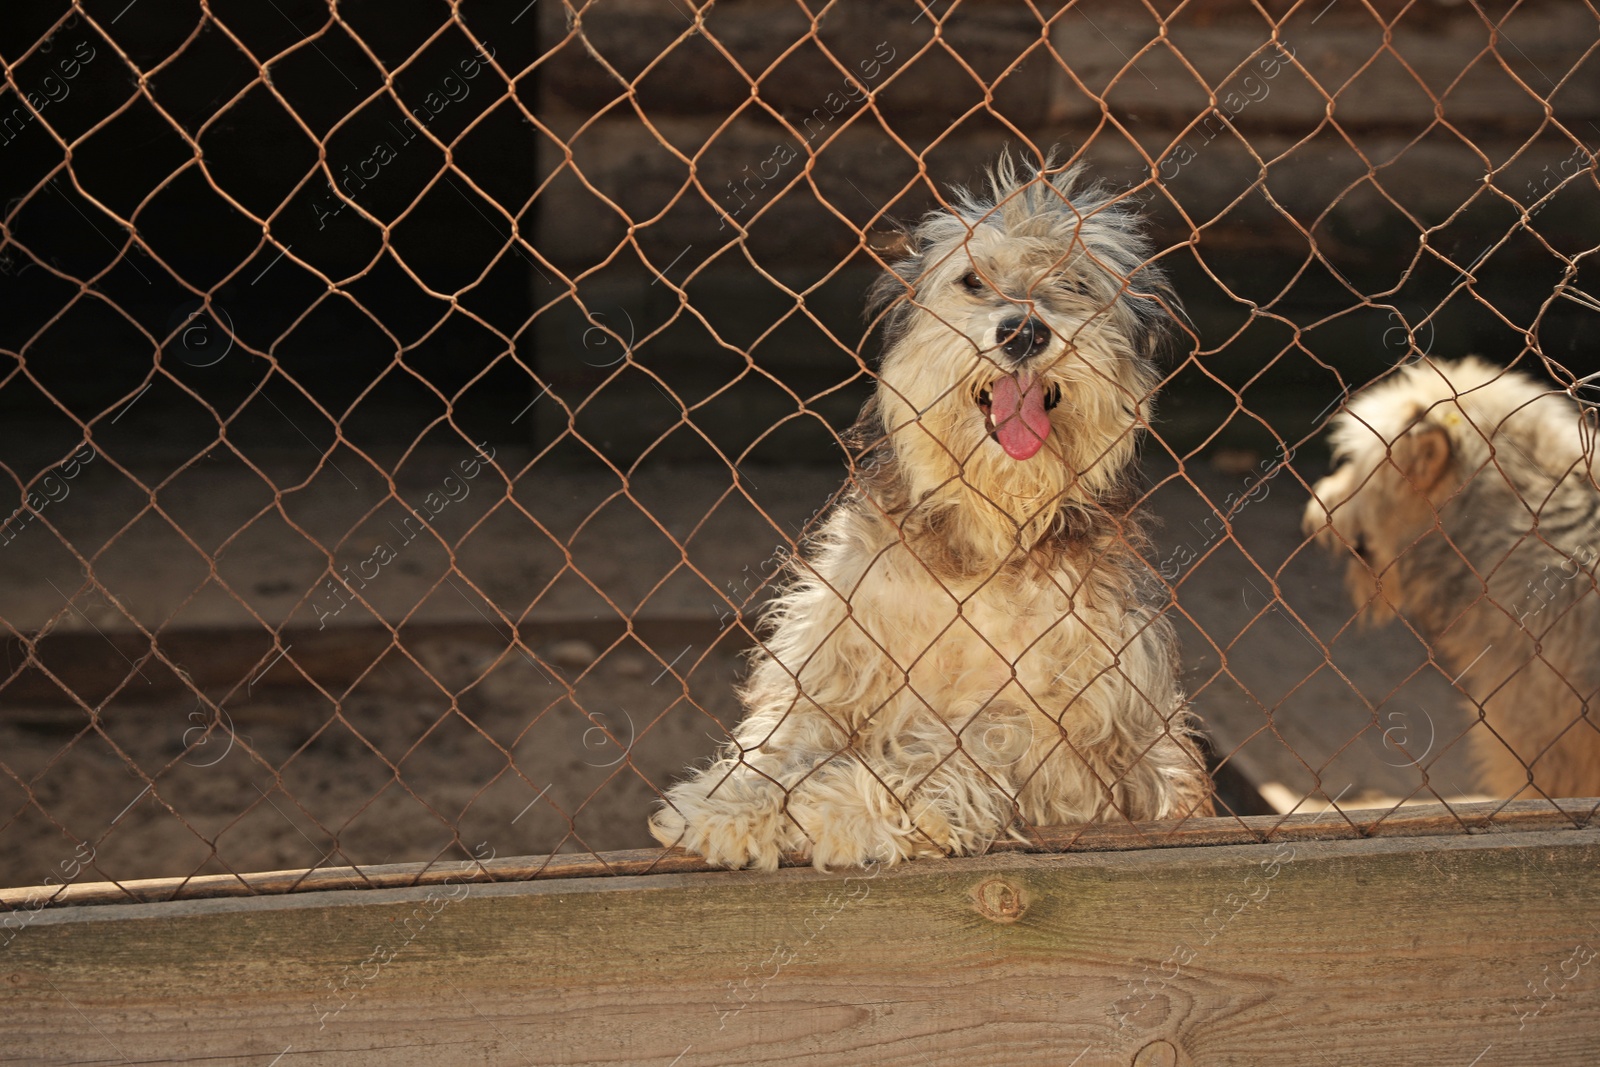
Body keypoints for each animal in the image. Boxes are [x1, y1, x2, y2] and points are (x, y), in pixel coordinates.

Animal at [649, 150, 1209, 870]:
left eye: (1076, 282)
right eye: (973, 279)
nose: (1023, 331)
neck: (989, 538)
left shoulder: (1090, 741)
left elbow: (972, 739)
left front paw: (846, 805)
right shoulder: (832, 650)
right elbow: (787, 729)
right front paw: (738, 800)